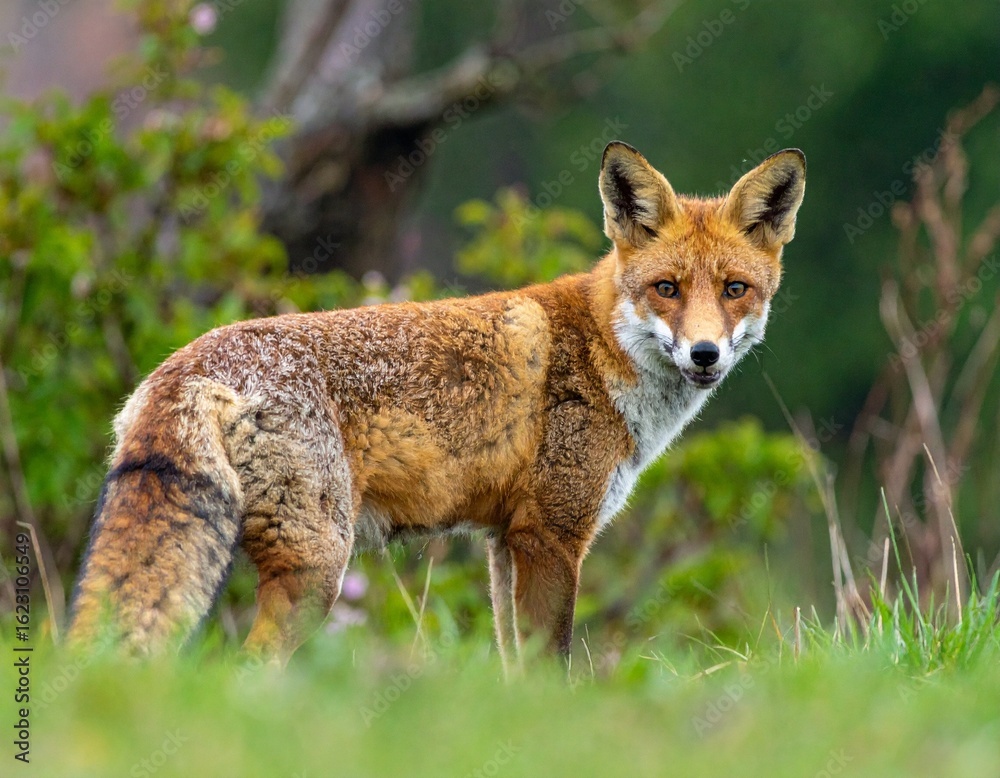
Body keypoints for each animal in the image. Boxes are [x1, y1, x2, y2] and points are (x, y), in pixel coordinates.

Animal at [67, 141, 805, 666]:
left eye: (735, 289)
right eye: (667, 288)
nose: (705, 354)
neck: (600, 352)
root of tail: (189, 364)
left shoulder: (506, 543)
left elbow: (516, 669)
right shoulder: (552, 536)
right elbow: (554, 671)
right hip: (317, 567)